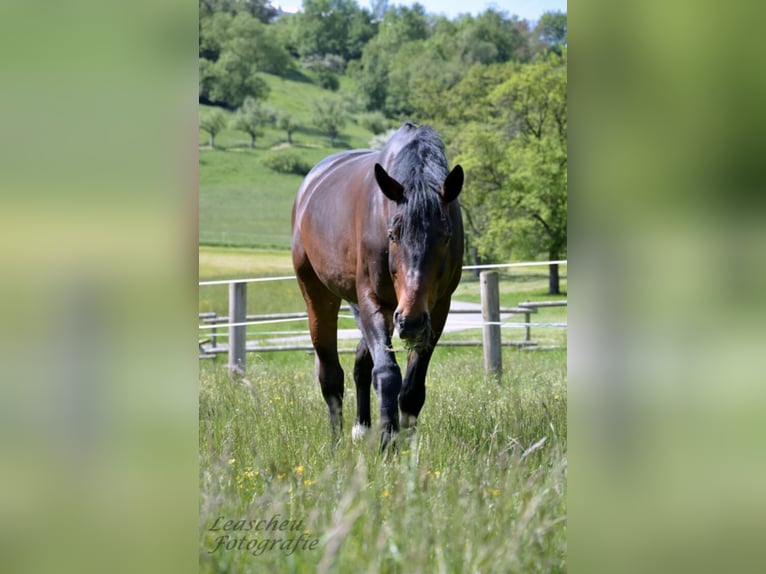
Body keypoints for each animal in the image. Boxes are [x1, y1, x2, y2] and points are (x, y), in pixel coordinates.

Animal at [292, 122, 464, 450]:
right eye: (393, 234)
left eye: (446, 236)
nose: (411, 321)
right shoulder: (373, 300)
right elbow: (386, 373)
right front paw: (388, 442)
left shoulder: (438, 309)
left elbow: (412, 386)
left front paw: (407, 443)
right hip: (318, 294)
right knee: (331, 375)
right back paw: (337, 443)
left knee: (361, 363)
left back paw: (361, 427)